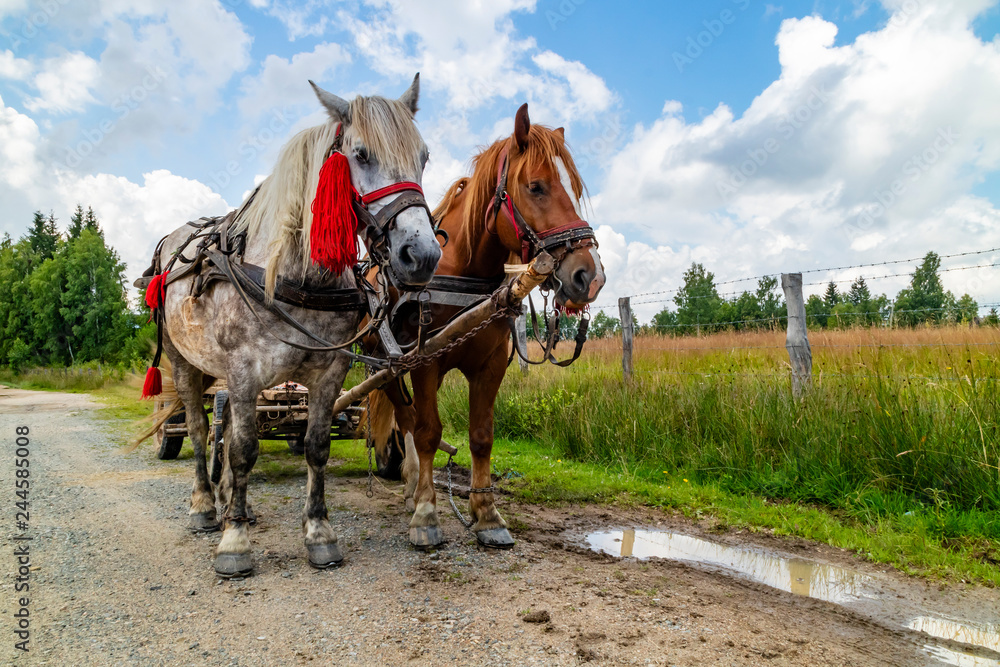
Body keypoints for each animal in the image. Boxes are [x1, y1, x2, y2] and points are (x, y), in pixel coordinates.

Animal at [368, 104, 600, 548]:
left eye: (576, 188)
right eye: (536, 186)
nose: (589, 276)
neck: (465, 270)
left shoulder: (490, 365)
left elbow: (481, 436)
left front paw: (487, 513)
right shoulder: (425, 362)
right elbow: (427, 432)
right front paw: (427, 513)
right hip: (386, 367)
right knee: (406, 421)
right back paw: (413, 488)